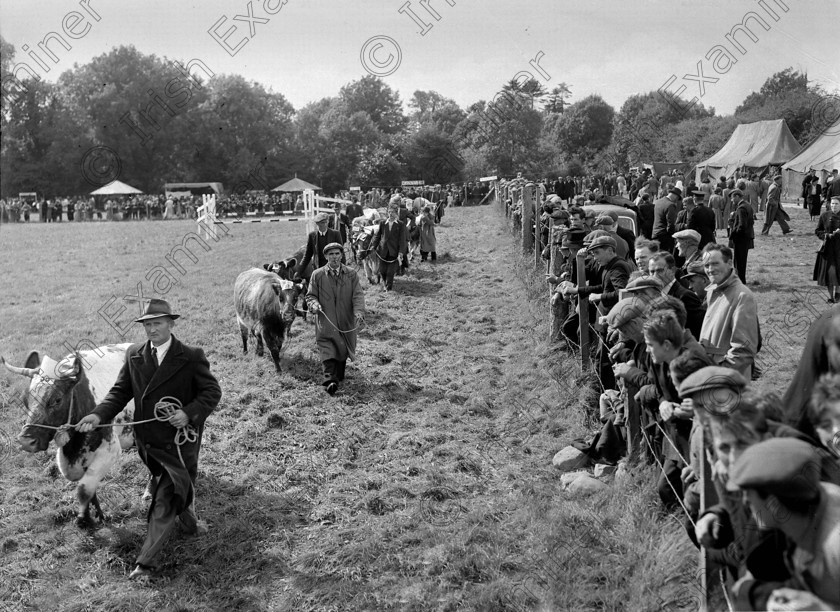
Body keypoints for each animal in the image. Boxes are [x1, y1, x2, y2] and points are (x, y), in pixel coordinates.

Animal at [3, 344, 135, 524]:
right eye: (24, 399)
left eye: (57, 400)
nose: (26, 441)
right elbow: (90, 490)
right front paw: (95, 516)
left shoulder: (110, 451)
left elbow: (84, 489)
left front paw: (83, 520)